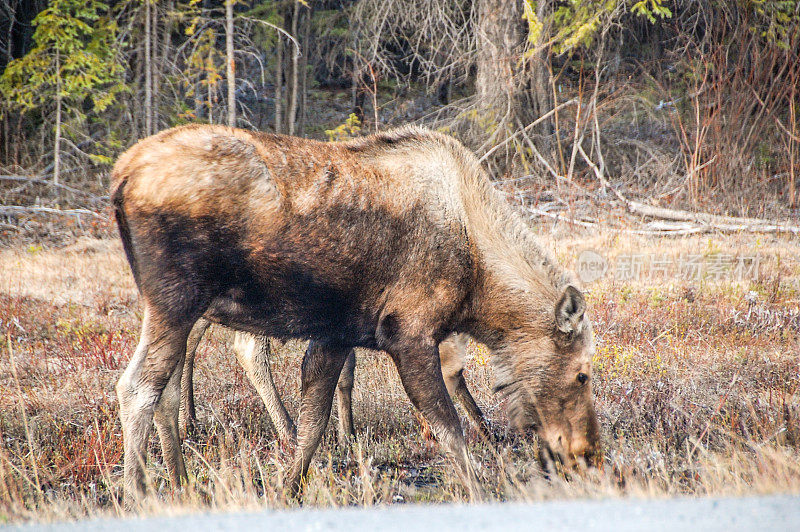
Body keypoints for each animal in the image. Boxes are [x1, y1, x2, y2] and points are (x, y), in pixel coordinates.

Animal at [112, 122, 600, 504]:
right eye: (582, 374)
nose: (585, 451)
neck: (479, 284)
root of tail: (121, 176)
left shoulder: (335, 336)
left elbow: (313, 426)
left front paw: (288, 490)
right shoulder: (409, 332)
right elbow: (449, 428)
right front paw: (480, 490)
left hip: (181, 307)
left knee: (167, 392)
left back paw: (181, 484)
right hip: (177, 299)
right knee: (136, 386)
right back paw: (142, 493)